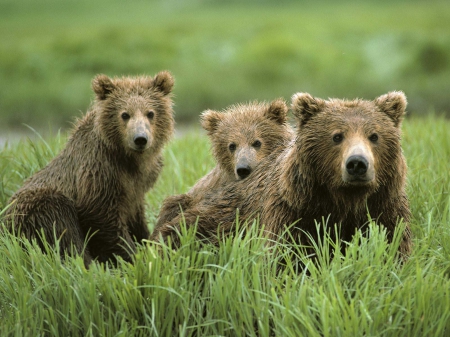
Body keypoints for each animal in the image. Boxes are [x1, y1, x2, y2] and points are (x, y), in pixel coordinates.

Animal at [3, 71, 176, 266]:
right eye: (125, 114)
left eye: (150, 113)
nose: (140, 139)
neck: (129, 160)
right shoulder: (100, 171)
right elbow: (101, 217)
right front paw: (133, 256)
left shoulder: (138, 185)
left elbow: (136, 217)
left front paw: (145, 242)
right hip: (36, 209)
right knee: (61, 229)